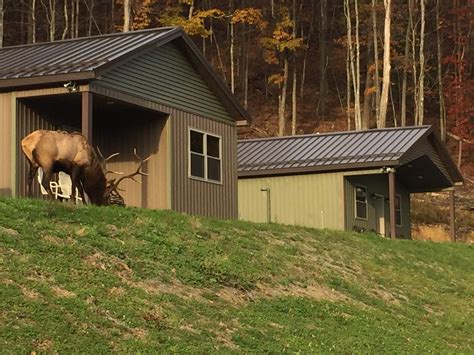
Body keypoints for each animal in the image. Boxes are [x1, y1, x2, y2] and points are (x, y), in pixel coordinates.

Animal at [20, 131, 149, 206]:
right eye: (106, 195)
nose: (101, 204)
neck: (89, 165)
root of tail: (25, 141)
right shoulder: (76, 167)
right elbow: (74, 187)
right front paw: (74, 202)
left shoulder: (74, 172)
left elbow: (80, 188)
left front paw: (85, 204)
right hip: (47, 162)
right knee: (45, 182)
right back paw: (53, 200)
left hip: (33, 162)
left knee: (29, 178)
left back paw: (29, 196)